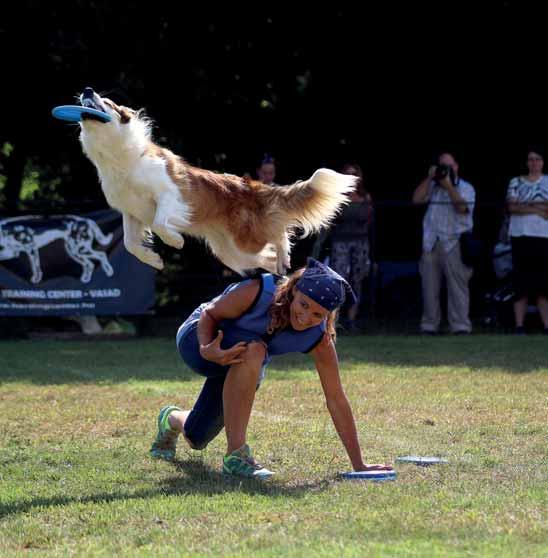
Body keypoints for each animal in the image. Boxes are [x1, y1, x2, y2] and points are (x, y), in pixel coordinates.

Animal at [79, 87, 358, 276]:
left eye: (106, 102)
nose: (87, 89)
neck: (119, 157)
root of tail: (255, 187)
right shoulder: (130, 211)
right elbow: (129, 244)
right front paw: (153, 259)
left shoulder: (169, 194)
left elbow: (159, 222)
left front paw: (175, 241)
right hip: (231, 252)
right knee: (265, 255)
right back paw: (281, 267)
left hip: (245, 238)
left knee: (278, 230)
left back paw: (283, 257)